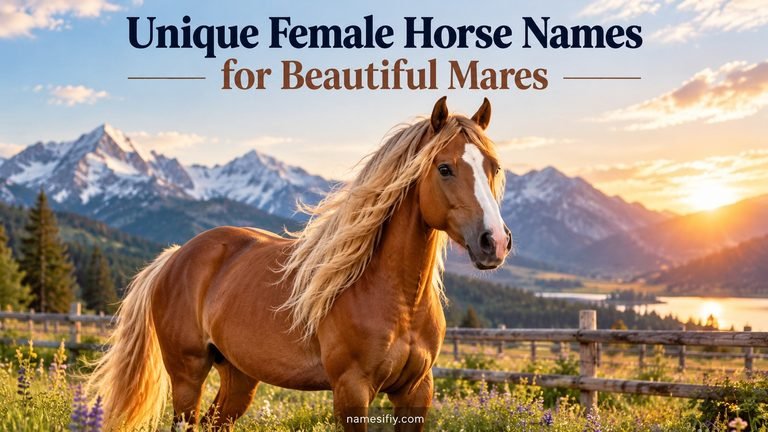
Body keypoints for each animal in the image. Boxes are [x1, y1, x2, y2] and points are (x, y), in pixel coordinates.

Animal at [88, 96, 513, 431]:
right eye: (444, 168)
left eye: (494, 167)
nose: (494, 241)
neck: (397, 300)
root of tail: (175, 256)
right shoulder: (351, 392)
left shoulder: (416, 391)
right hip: (187, 374)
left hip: (238, 376)